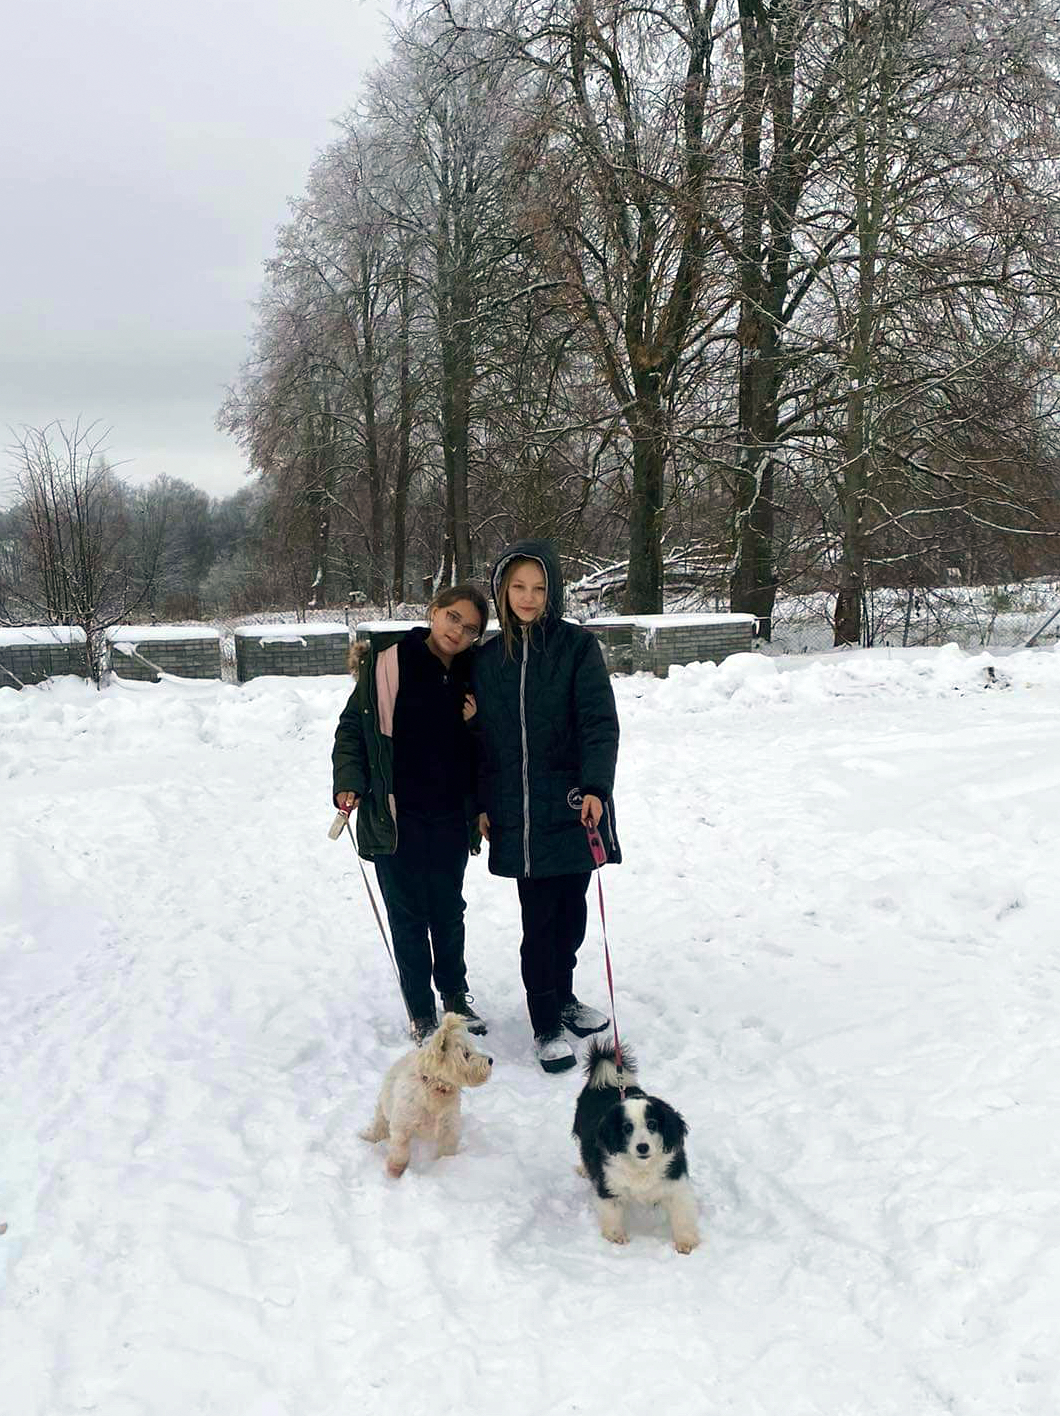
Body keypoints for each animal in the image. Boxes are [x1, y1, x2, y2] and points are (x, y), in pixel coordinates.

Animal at [360, 1012, 493, 1177]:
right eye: (466, 1054)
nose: (491, 1060)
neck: (436, 1088)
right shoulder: (403, 1124)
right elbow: (400, 1149)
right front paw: (395, 1170)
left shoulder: (448, 1126)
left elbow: (447, 1148)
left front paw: (446, 1164)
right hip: (384, 1107)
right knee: (380, 1125)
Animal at [573, 1039, 700, 1253]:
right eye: (627, 1128)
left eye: (652, 1124)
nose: (642, 1147)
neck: (641, 1167)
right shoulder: (609, 1184)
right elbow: (612, 1212)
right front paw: (616, 1237)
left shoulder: (675, 1183)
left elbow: (682, 1214)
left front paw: (685, 1242)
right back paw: (584, 1169)